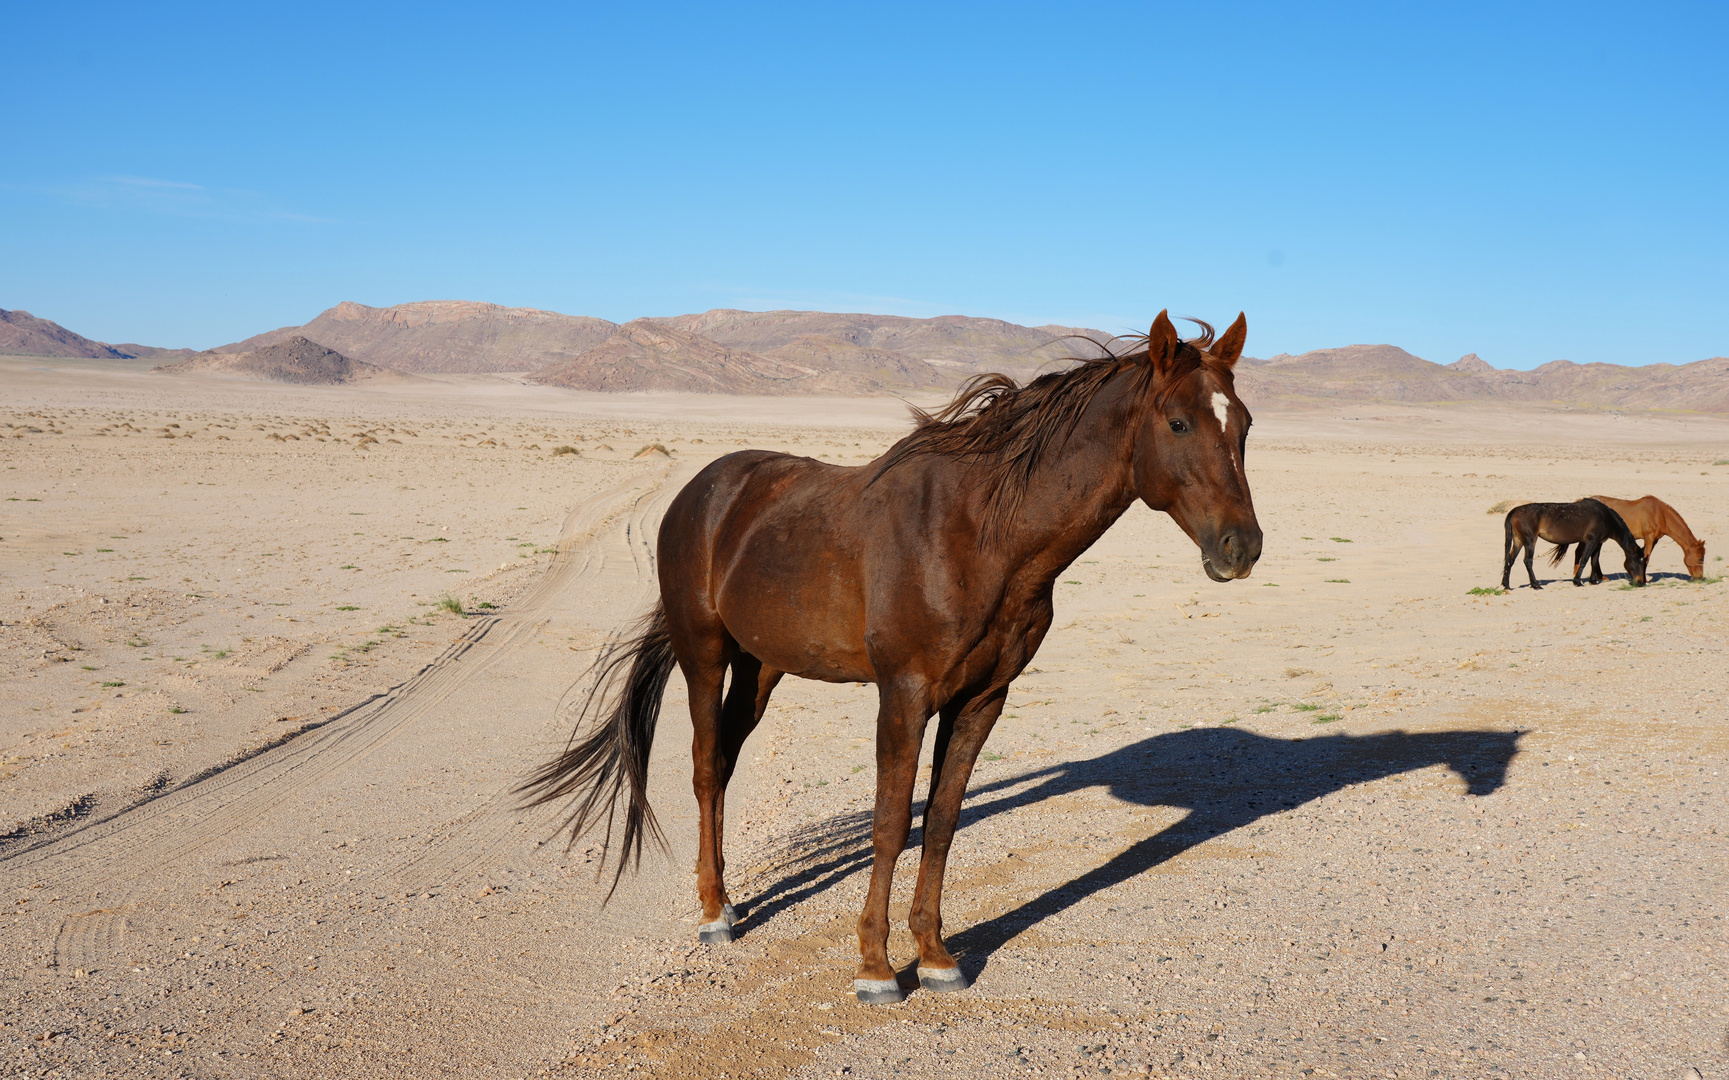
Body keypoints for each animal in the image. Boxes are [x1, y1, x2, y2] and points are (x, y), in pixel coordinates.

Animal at [518, 309, 1265, 1002]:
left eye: (1245, 425)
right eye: (1177, 423)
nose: (1241, 547)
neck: (981, 534)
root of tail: (701, 491)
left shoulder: (981, 700)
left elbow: (940, 824)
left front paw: (934, 957)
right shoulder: (903, 694)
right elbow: (888, 823)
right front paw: (875, 968)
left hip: (761, 667)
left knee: (725, 762)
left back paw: (726, 897)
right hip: (703, 653)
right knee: (705, 769)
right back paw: (713, 914)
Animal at [1500, 497, 1646, 590]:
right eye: (1636, 560)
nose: (1641, 583)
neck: (1606, 517)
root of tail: (1515, 510)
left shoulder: (1598, 543)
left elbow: (1594, 561)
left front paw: (1593, 581)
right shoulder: (1591, 541)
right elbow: (1584, 560)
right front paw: (1577, 581)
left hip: (1518, 540)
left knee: (1510, 559)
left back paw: (1506, 584)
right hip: (1530, 541)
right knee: (1528, 561)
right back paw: (1536, 584)